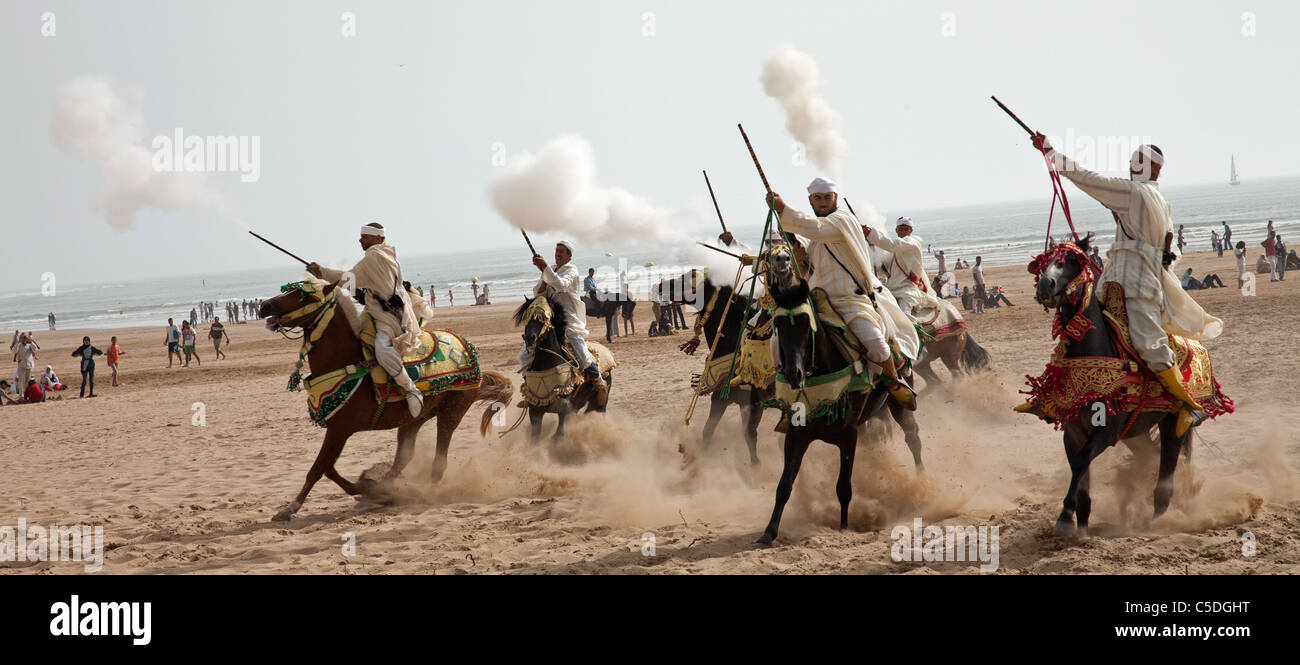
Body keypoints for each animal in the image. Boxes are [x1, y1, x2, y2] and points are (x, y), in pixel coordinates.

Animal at [258, 279, 512, 519]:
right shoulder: (338, 431)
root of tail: (467, 349)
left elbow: (318, 468)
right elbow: (328, 468)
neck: (347, 362)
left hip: (451, 412)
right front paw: (369, 489)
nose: (264, 306)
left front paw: (290, 508)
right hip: (414, 420)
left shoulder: (339, 429)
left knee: (438, 464)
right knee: (403, 458)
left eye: (304, 295)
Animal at [509, 294, 611, 441]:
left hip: (599, 402)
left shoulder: (564, 408)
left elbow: (559, 432)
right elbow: (535, 438)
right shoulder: (535, 411)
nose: (529, 338)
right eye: (527, 317)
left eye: (543, 317)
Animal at [754, 275, 925, 545]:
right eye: (778, 323)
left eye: (806, 323)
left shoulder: (848, 436)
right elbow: (784, 486)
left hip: (899, 405)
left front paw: (844, 526)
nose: (794, 374)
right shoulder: (796, 436)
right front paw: (769, 532)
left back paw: (922, 483)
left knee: (913, 439)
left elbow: (843, 486)